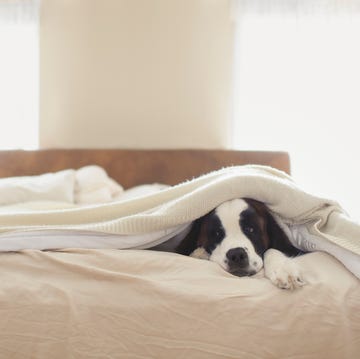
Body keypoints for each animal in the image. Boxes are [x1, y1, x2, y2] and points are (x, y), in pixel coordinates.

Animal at [176, 198, 306, 292]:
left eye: (250, 229)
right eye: (217, 233)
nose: (236, 255)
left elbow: (271, 250)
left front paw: (284, 269)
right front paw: (200, 254)